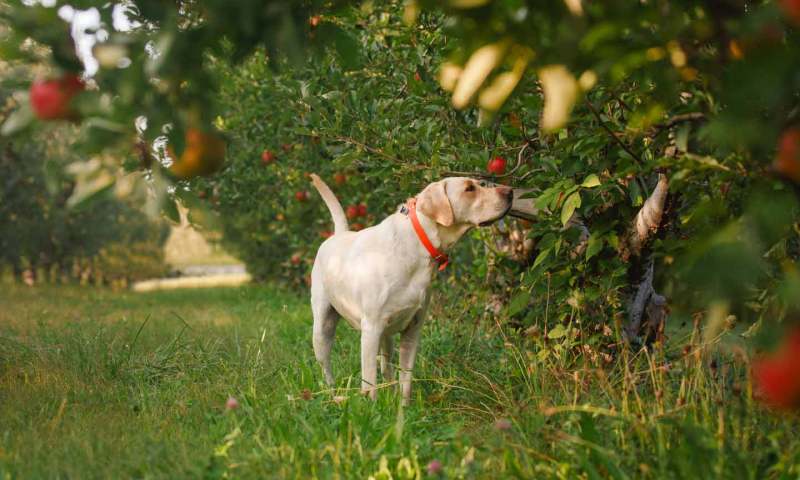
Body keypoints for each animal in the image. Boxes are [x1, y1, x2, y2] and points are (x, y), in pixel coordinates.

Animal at [310, 174, 510, 404]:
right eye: (469, 189)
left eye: (480, 183)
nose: (510, 192)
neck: (417, 244)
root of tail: (338, 234)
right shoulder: (370, 329)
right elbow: (370, 382)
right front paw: (371, 407)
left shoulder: (413, 330)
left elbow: (405, 381)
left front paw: (403, 409)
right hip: (323, 329)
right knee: (327, 368)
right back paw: (332, 396)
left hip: (386, 337)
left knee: (386, 366)